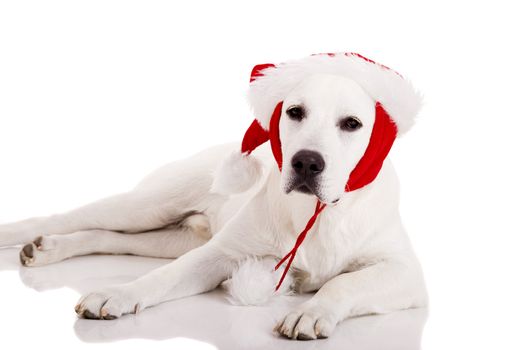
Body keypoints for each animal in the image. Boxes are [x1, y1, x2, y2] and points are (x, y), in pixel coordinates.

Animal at [0, 53, 426, 340]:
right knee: (71, 219)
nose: (306, 162)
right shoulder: (219, 254)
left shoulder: (405, 273)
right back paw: (28, 239)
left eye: (352, 123)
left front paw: (312, 311)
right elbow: (162, 277)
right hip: (147, 207)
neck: (315, 213)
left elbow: (345, 283)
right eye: (294, 112)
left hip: (172, 237)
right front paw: (118, 293)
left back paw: (47, 248)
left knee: (111, 239)